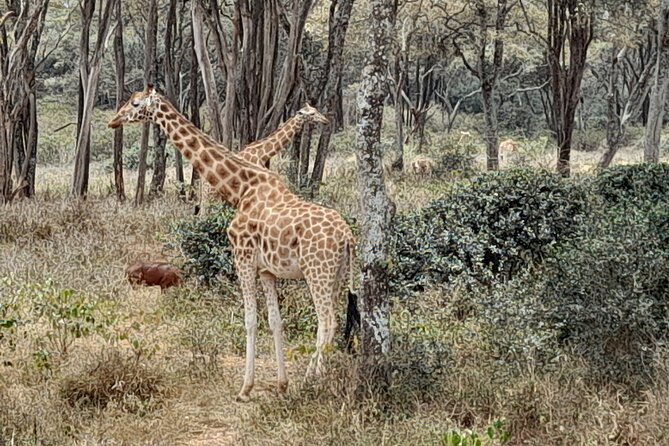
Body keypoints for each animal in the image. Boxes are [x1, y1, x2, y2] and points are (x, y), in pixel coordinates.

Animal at [198, 103, 329, 214]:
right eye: (312, 114)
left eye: (316, 109)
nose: (326, 120)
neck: (261, 154)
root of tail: (202, 183)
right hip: (212, 197)